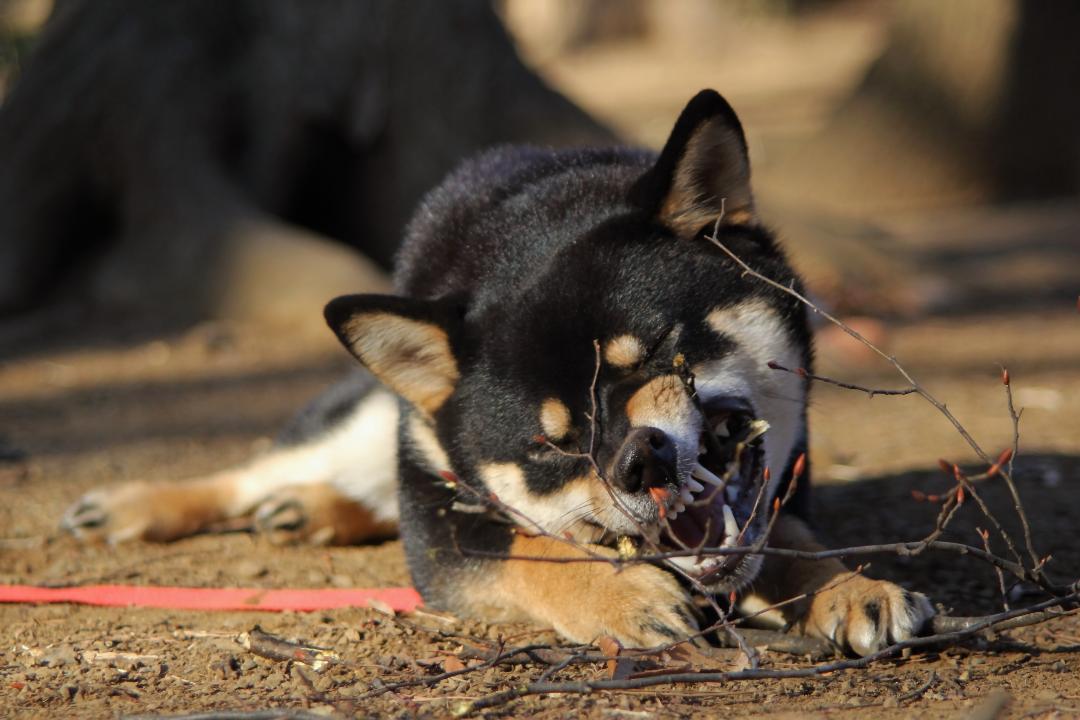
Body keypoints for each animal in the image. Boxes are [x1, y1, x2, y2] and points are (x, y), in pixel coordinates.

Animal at [63, 91, 933, 660]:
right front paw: (621, 594)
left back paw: (314, 510)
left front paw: (851, 587)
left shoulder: (785, 486)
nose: (639, 459)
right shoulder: (442, 537)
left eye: (660, 349)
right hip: (367, 429)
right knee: (254, 471)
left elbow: (787, 536)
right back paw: (139, 504)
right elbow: (528, 549)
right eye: (551, 447)